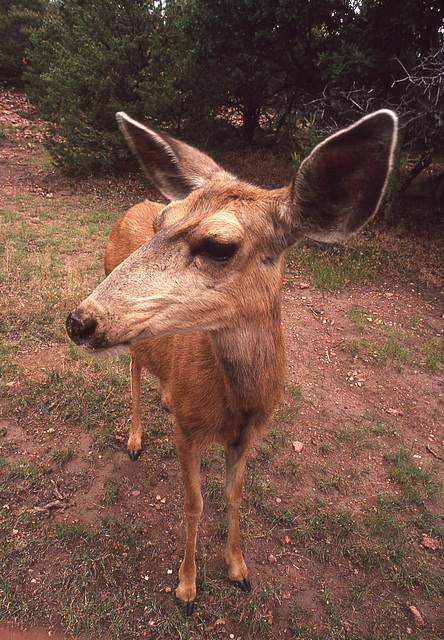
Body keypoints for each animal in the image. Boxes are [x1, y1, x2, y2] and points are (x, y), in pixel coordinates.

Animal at [65, 110, 396, 616]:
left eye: (219, 246)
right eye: (163, 221)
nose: (78, 320)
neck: (236, 405)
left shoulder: (249, 435)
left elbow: (235, 496)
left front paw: (239, 570)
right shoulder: (187, 432)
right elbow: (194, 503)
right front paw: (187, 589)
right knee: (135, 370)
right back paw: (136, 439)